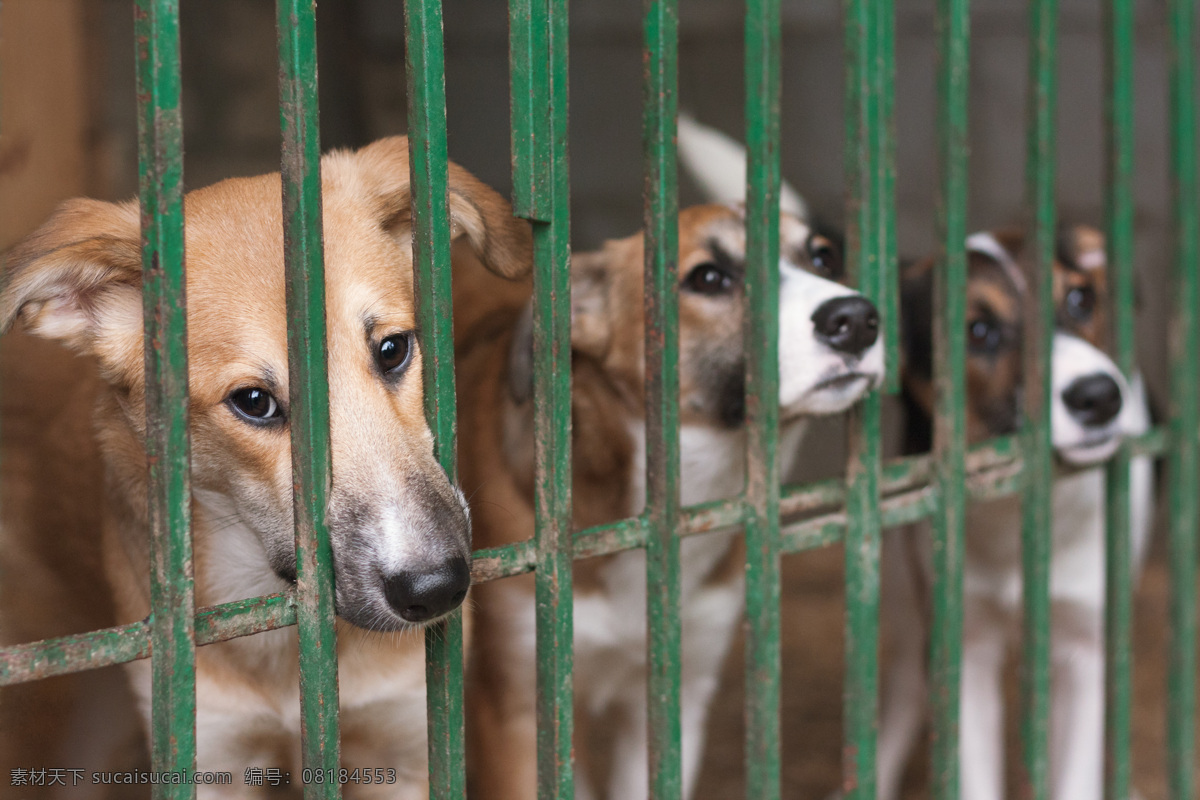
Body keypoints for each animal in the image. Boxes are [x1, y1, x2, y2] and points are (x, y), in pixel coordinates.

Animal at [878, 225, 1156, 800]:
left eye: (1080, 299)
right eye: (979, 331)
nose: (1100, 396)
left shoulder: (1084, 646)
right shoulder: (965, 645)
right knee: (906, 688)